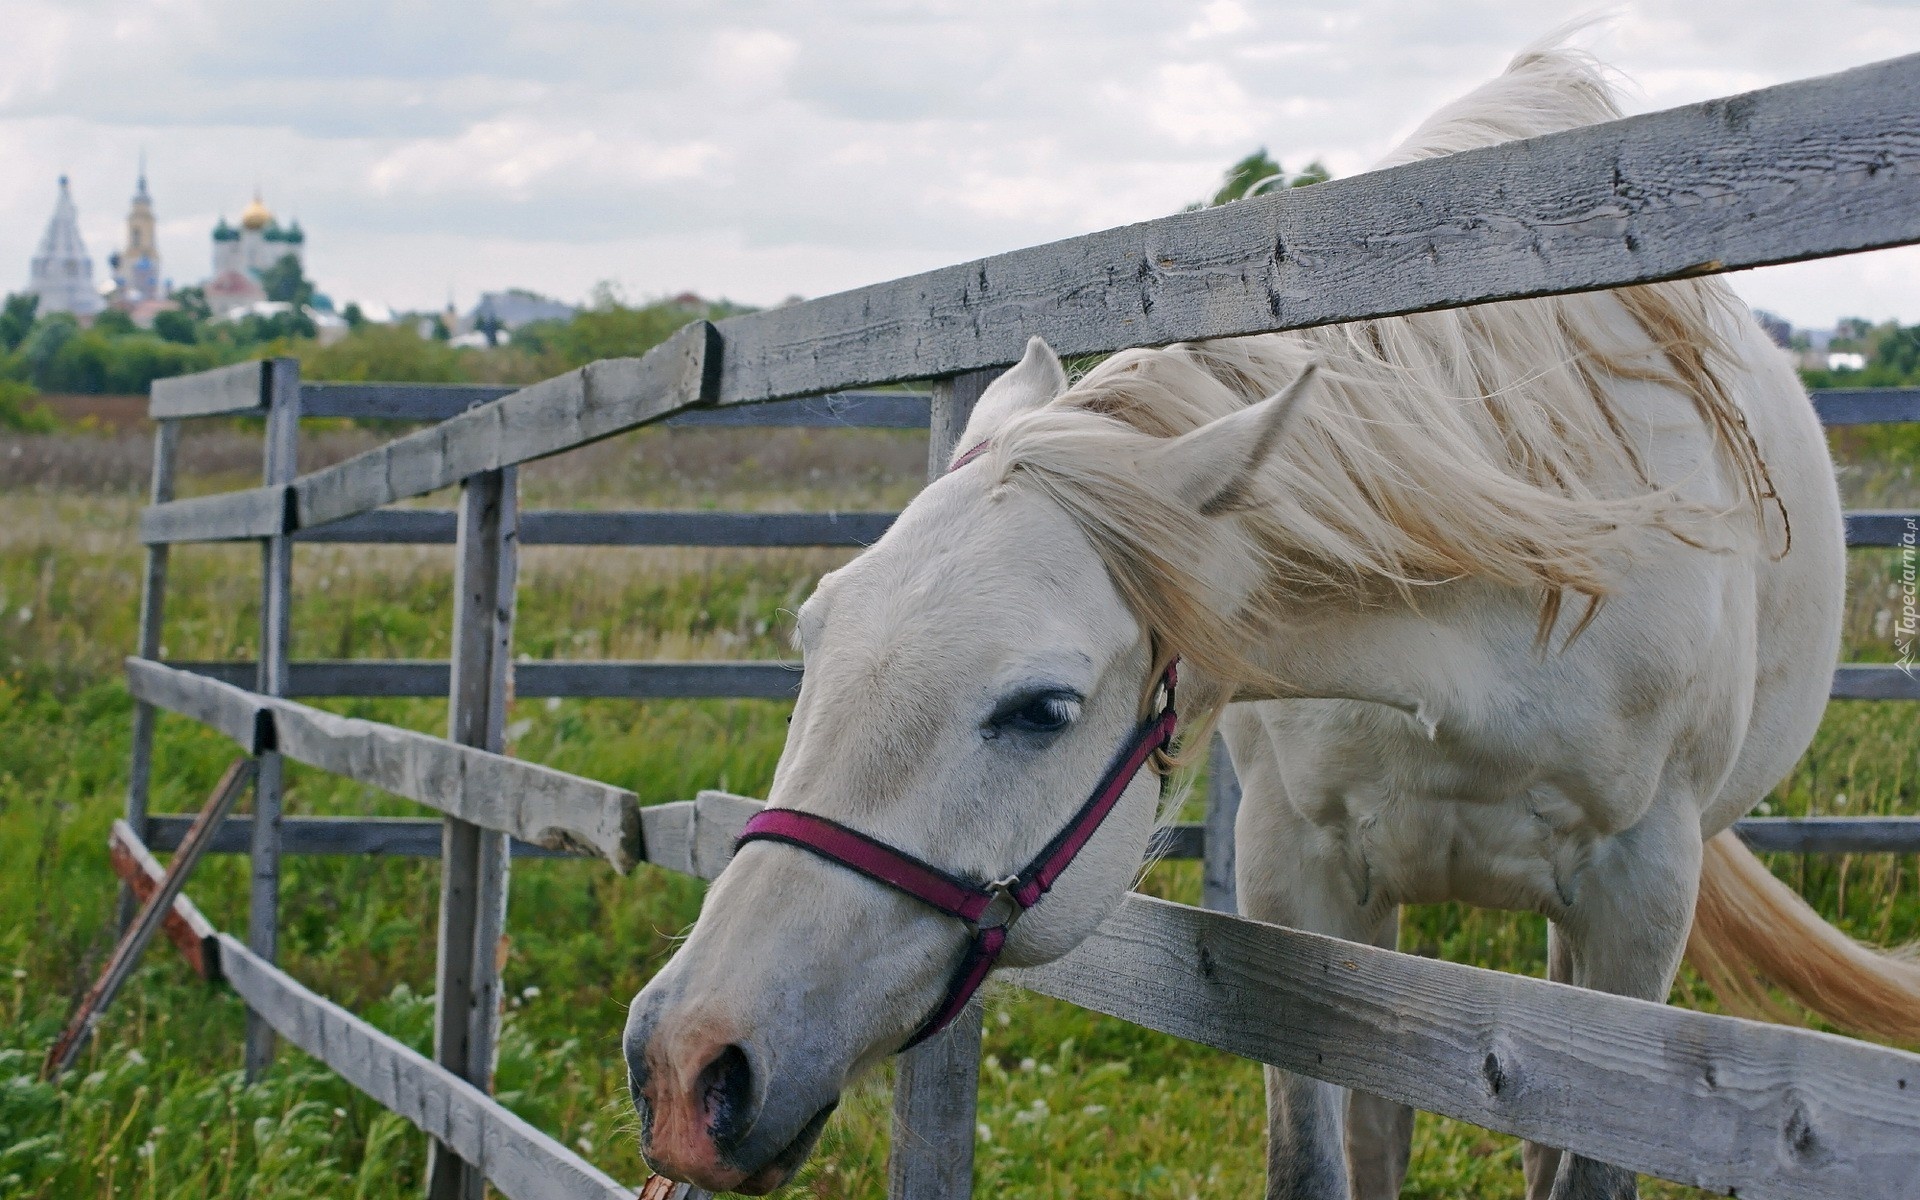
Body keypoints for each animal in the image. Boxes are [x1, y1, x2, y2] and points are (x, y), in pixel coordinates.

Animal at [622, 42, 1912, 1190]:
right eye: (813, 641)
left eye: (1040, 709)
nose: (686, 1065)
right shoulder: (1301, 876)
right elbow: (1318, 1157)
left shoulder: (1637, 919)